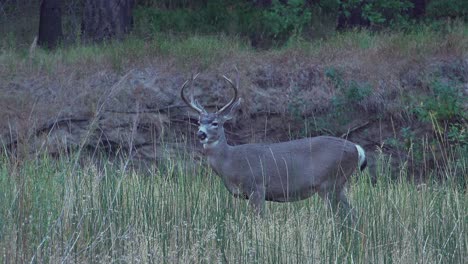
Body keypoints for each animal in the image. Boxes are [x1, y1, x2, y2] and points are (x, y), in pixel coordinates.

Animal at [181, 70, 368, 217]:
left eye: (215, 123)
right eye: (198, 122)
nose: (201, 134)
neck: (230, 162)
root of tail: (356, 148)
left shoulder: (257, 186)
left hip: (331, 181)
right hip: (336, 185)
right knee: (352, 213)